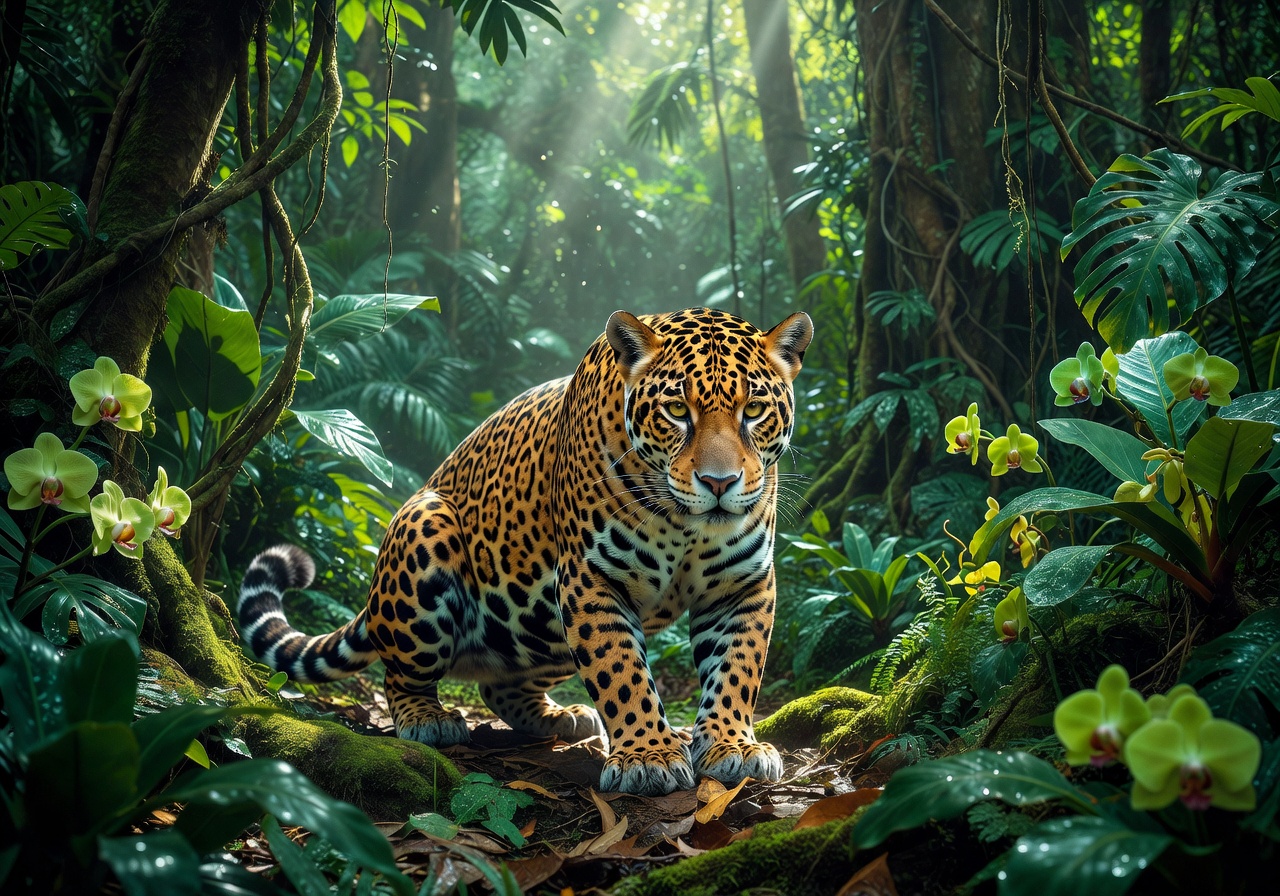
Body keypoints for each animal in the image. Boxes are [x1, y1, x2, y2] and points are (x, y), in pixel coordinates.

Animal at [237, 307, 813, 796]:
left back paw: (560, 716)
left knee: (501, 685)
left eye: (753, 411)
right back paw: (428, 719)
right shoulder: (590, 578)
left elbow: (737, 669)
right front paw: (647, 755)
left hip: (542, 631)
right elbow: (621, 671)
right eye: (676, 411)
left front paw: (732, 744)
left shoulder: (742, 585)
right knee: (400, 673)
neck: (686, 525)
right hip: (426, 532)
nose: (720, 483)